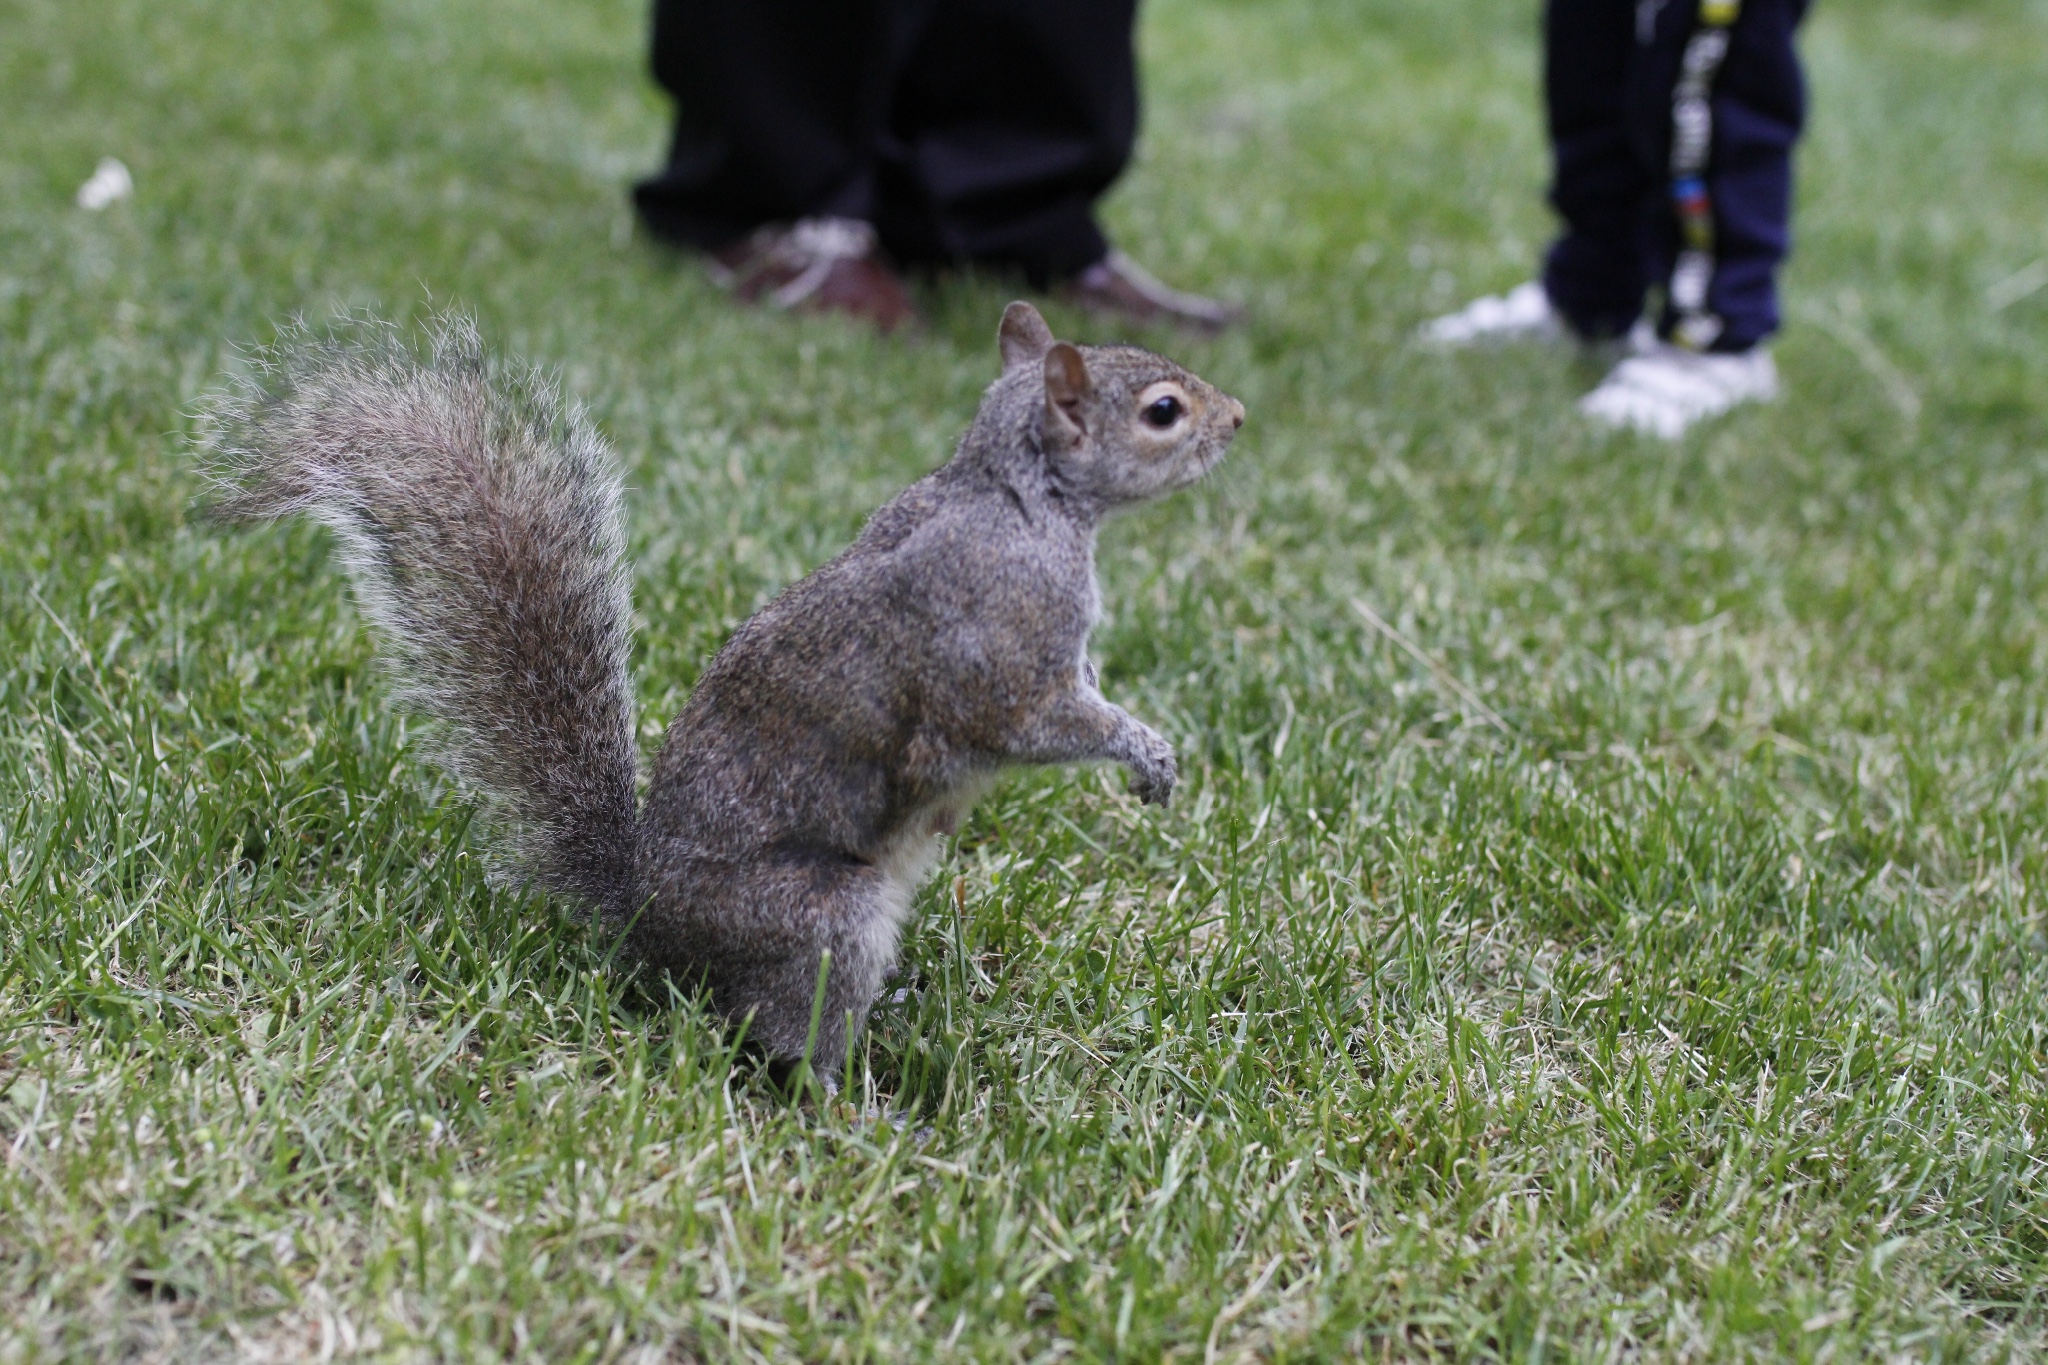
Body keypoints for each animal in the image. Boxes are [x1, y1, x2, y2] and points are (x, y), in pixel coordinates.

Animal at [199, 304, 1236, 1072]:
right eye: (1163, 410)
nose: (1236, 420)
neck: (1023, 499)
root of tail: (649, 924)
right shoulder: (999, 650)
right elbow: (1037, 723)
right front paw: (1150, 755)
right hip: (822, 918)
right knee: (783, 1031)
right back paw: (854, 1106)